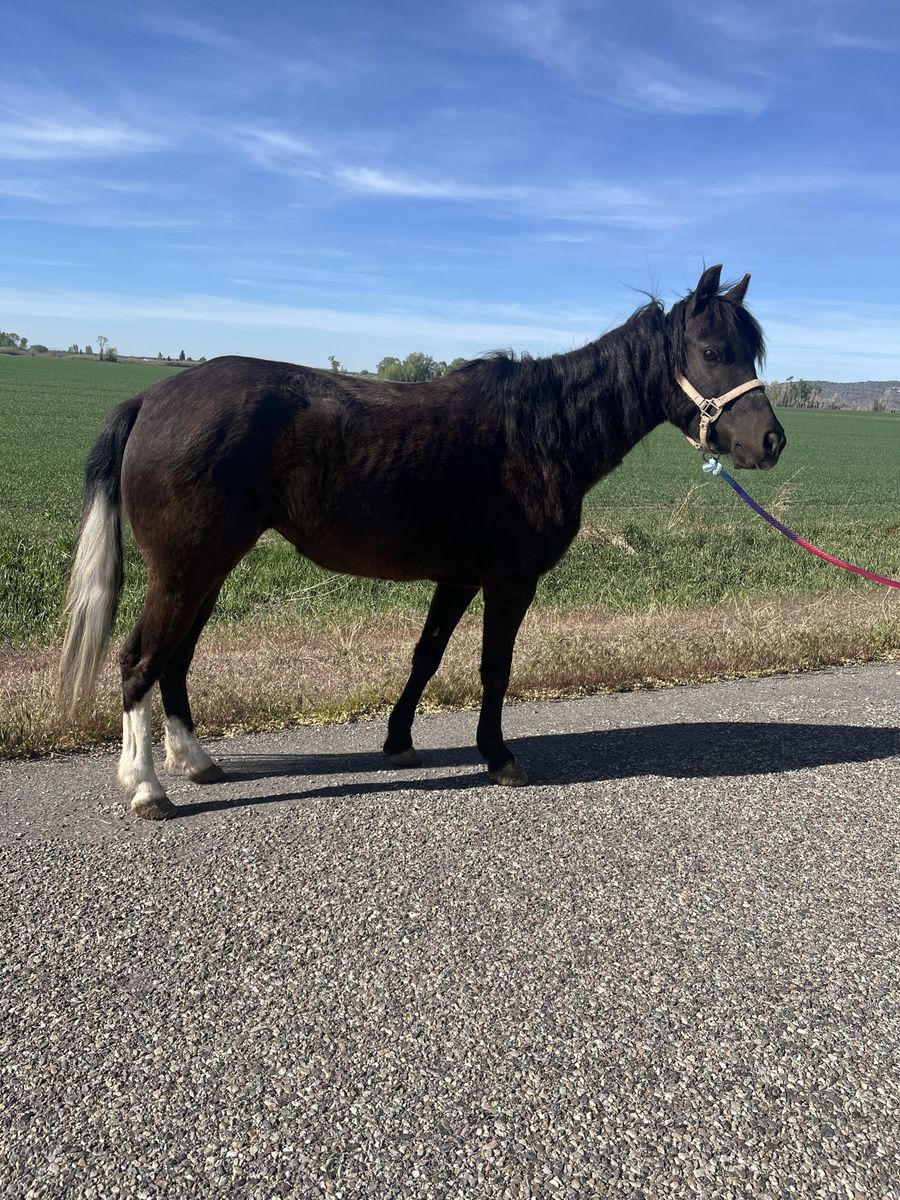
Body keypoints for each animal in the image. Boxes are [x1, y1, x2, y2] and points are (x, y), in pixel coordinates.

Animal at [59, 265, 785, 820]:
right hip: (184, 571)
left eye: (748, 352)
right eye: (714, 352)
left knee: (175, 662)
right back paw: (147, 788)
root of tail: (150, 398)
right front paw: (498, 755)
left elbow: (426, 657)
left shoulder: (458, 577)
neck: (538, 431)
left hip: (206, 571)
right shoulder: (509, 582)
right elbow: (494, 668)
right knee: (139, 660)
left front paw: (400, 740)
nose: (771, 441)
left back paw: (194, 762)